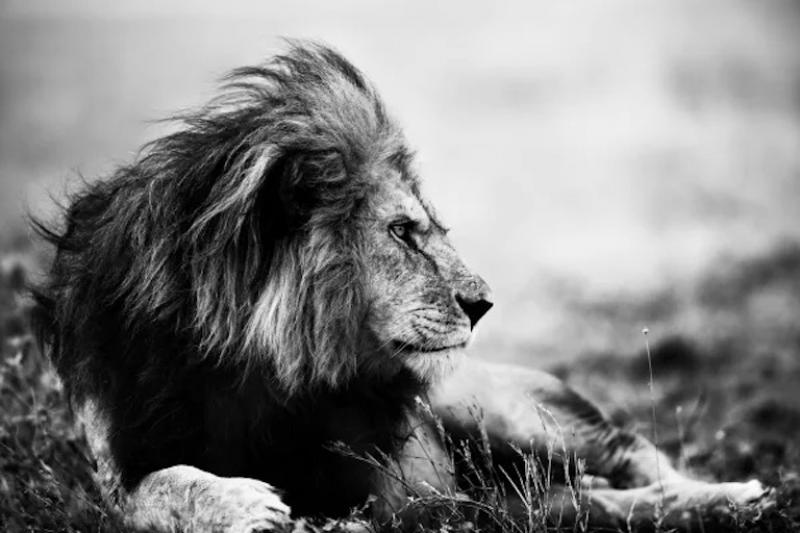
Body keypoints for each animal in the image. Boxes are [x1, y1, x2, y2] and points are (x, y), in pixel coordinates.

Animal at [29, 42, 768, 532]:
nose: (483, 304)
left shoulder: (393, 488)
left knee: (631, 453)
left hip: (495, 406)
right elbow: (161, 486)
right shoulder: (118, 459)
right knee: (590, 501)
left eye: (429, 229)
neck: (257, 365)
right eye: (403, 233)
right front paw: (245, 503)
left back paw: (737, 494)